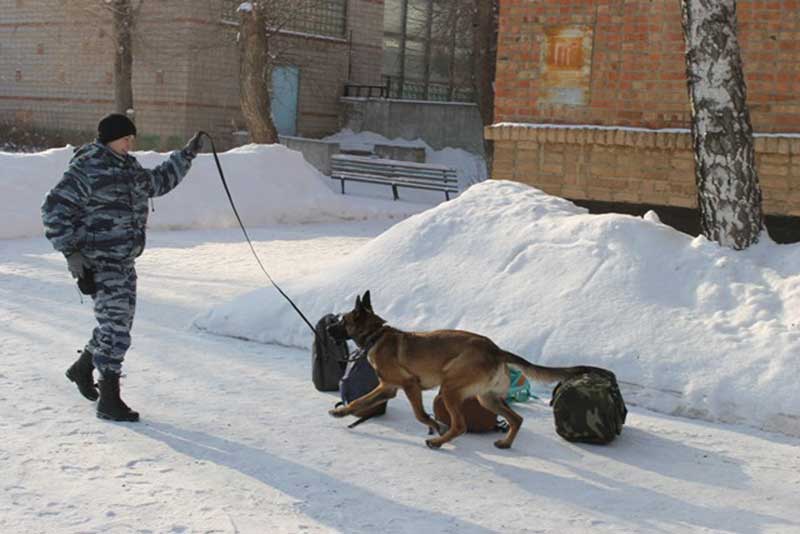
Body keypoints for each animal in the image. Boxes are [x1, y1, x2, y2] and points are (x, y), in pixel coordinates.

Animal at [328, 294, 604, 452]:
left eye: (342, 321)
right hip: (487, 398)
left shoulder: (409, 385)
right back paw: (505, 443)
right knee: (516, 419)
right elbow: (359, 401)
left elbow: (420, 414)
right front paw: (341, 412)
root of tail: (496, 350)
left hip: (449, 390)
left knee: (460, 425)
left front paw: (433, 426)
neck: (376, 335)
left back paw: (438, 442)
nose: (329, 328)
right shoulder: (387, 387)